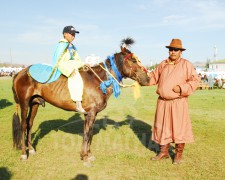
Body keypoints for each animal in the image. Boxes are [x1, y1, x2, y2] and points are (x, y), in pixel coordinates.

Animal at [11, 37, 149, 165]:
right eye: (134, 60)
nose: (147, 78)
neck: (98, 81)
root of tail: (20, 73)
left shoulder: (90, 113)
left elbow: (89, 132)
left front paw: (87, 154)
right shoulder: (91, 113)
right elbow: (87, 133)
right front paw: (85, 157)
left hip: (34, 103)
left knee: (30, 123)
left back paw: (31, 149)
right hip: (24, 103)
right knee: (23, 125)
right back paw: (24, 154)